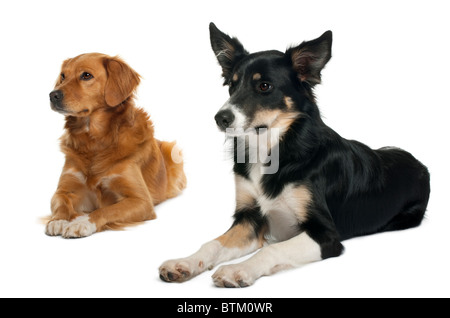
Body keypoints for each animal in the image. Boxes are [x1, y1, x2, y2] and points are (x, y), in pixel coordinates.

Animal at [46, 52, 186, 237]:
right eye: (63, 76)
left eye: (86, 75)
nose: (53, 95)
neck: (95, 142)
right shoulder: (65, 189)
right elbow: (60, 203)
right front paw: (58, 220)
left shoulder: (141, 201)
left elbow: (106, 210)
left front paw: (82, 222)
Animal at [160, 23, 430, 286]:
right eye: (232, 85)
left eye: (264, 86)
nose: (221, 118)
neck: (272, 148)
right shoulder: (249, 219)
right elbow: (213, 243)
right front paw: (184, 263)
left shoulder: (326, 235)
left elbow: (271, 250)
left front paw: (238, 270)